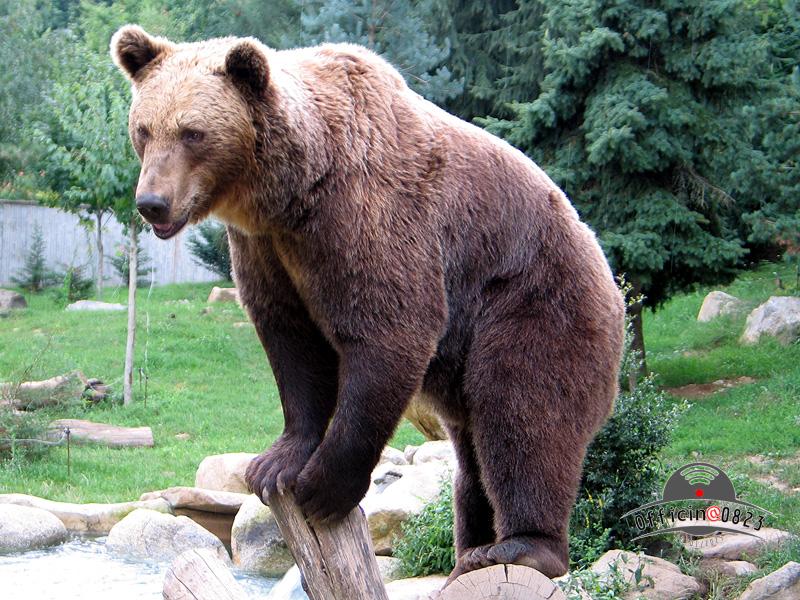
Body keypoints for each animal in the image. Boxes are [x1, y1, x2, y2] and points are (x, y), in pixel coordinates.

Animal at [111, 25, 625, 581]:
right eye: (144, 130)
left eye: (193, 133)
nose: (152, 202)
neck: (292, 192)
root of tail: (613, 284)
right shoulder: (267, 249)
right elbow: (292, 343)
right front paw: (275, 464)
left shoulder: (367, 215)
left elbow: (391, 328)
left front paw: (323, 487)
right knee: (471, 452)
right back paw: (471, 552)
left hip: (533, 302)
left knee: (522, 411)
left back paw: (522, 547)